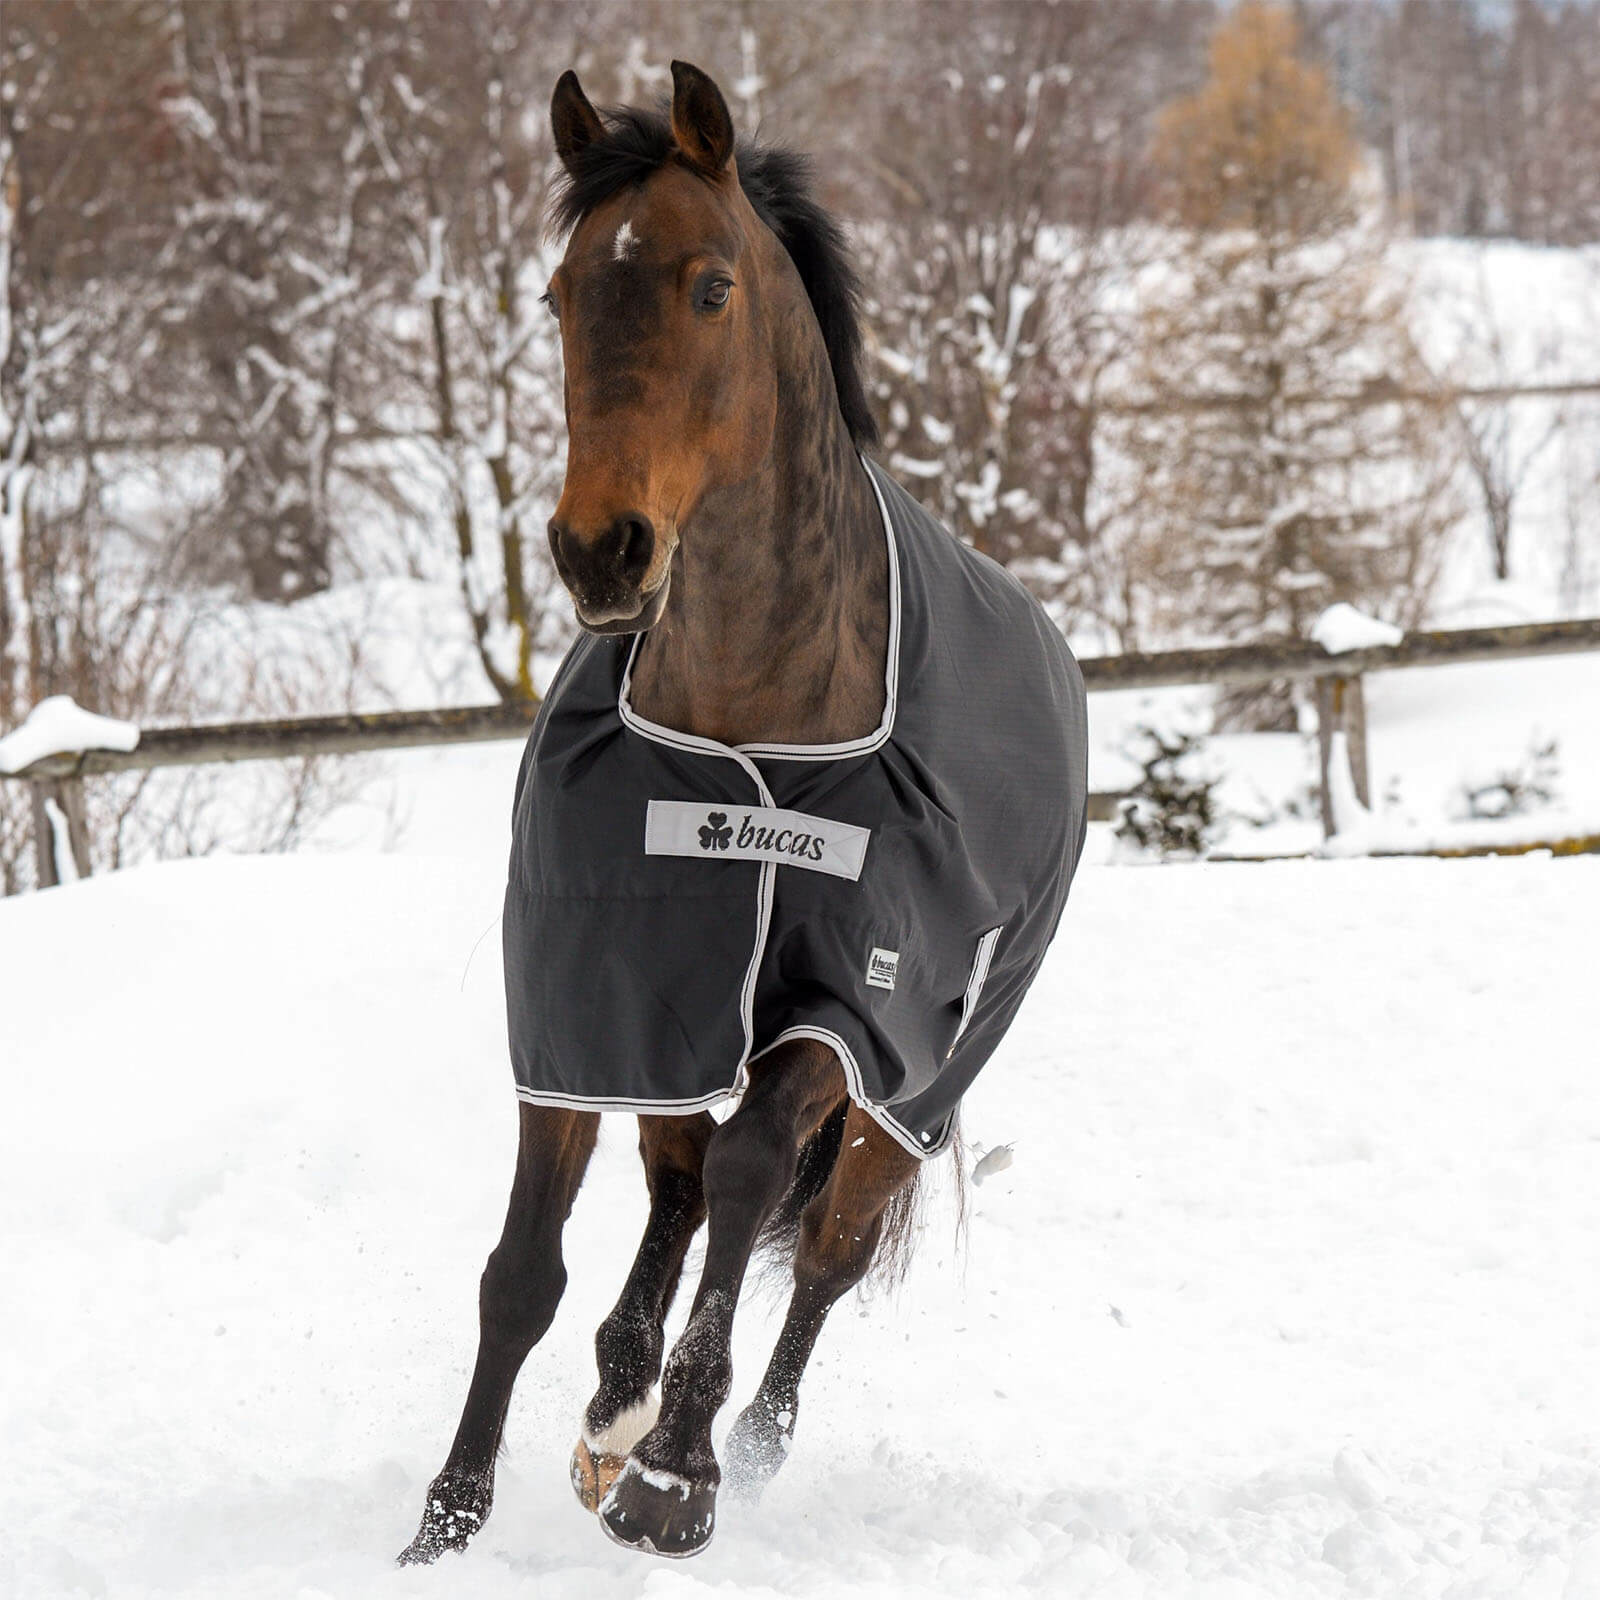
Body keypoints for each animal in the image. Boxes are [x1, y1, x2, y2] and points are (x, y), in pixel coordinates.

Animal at [400, 59, 1088, 1565]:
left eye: (711, 287)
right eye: (558, 296)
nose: (599, 551)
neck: (747, 723)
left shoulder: (851, 1007)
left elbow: (757, 1171)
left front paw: (677, 1476)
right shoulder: (595, 991)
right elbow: (521, 1268)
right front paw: (448, 1522)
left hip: (917, 1090)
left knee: (812, 1244)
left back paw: (736, 1440)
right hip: (685, 1020)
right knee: (674, 1182)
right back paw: (613, 1398)